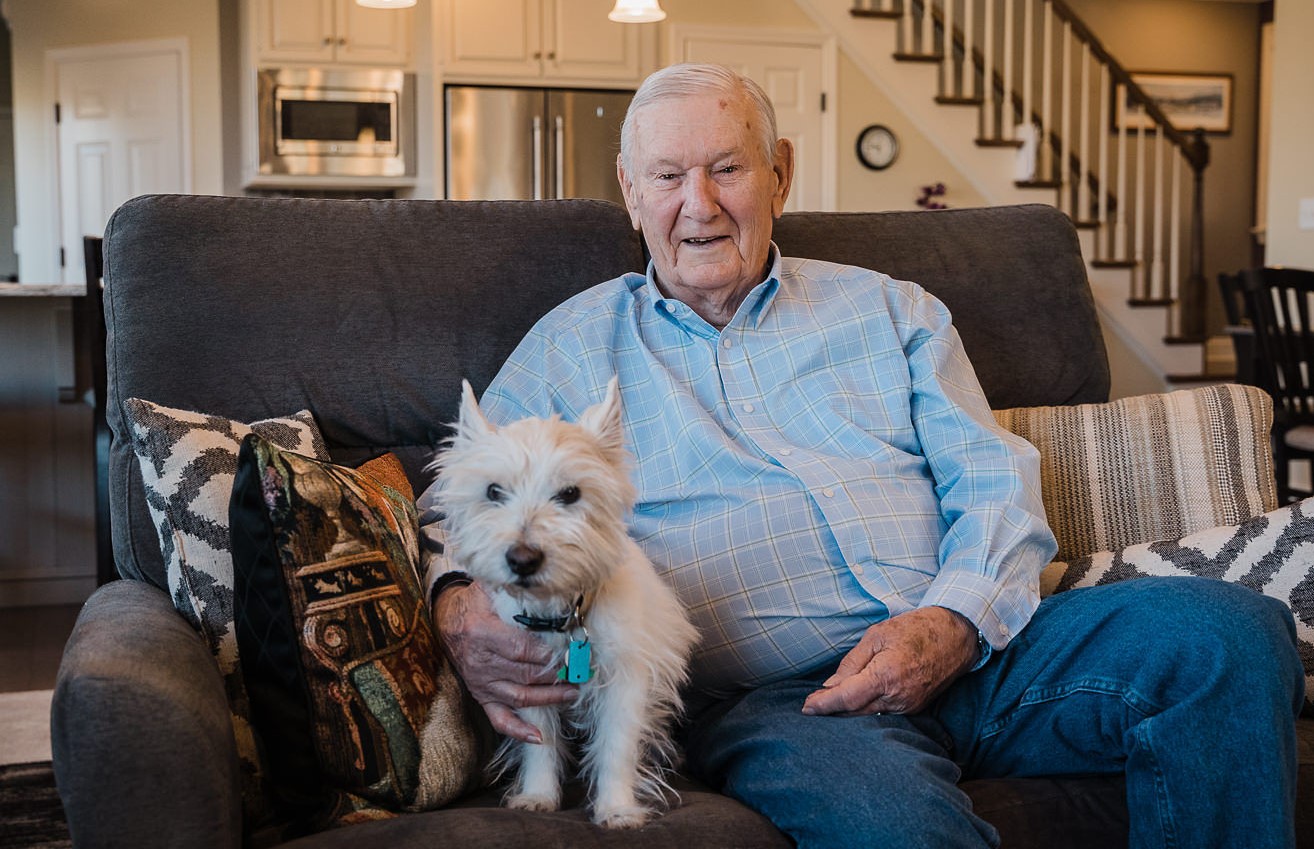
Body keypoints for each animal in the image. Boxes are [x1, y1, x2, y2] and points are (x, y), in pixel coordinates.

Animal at [428, 378, 699, 830]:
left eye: (571, 493)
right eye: (493, 491)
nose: (522, 559)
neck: (563, 613)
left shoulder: (626, 679)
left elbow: (617, 748)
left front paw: (617, 808)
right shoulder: (527, 682)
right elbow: (540, 742)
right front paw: (538, 796)